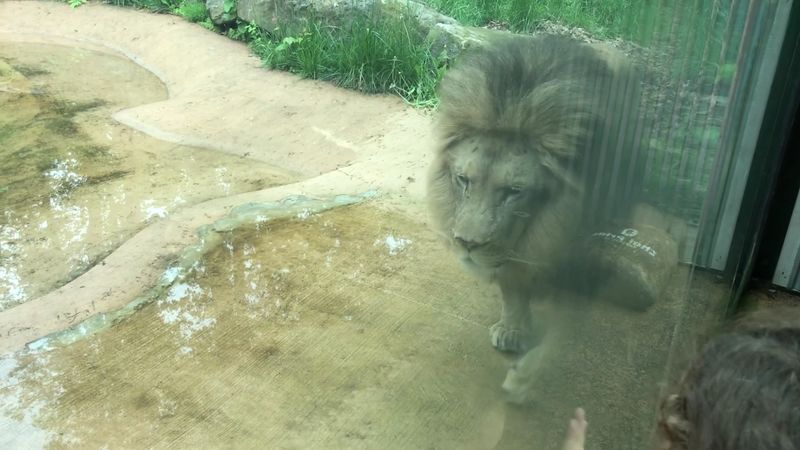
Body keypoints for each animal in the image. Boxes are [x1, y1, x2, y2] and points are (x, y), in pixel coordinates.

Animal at [426, 35, 645, 355]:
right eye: (463, 180)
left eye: (514, 191)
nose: (467, 244)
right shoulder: (515, 245)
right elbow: (514, 283)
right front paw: (513, 329)